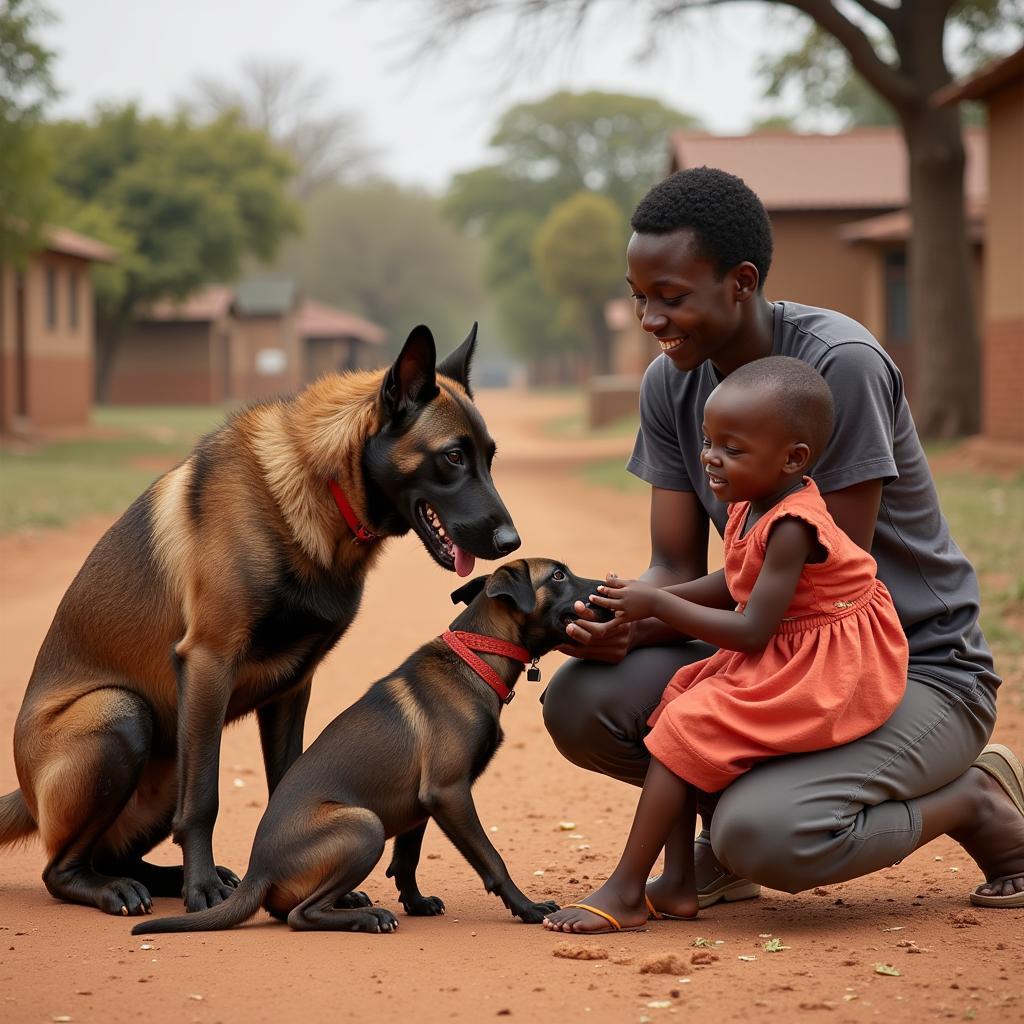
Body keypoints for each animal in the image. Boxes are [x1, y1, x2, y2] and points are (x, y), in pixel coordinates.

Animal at [0, 323, 520, 917]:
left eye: (490, 457)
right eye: (453, 457)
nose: (512, 542)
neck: (316, 484)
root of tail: (27, 792)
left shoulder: (293, 686)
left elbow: (287, 781)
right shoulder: (209, 661)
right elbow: (204, 800)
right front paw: (203, 888)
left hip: (166, 751)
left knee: (114, 854)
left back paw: (162, 878)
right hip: (124, 715)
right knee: (61, 869)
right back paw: (125, 888)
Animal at [136, 561, 610, 937]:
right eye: (559, 575)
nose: (607, 586)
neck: (476, 656)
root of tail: (259, 872)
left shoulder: (424, 802)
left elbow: (409, 856)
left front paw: (416, 902)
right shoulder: (449, 792)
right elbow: (492, 860)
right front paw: (527, 907)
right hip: (364, 825)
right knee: (301, 915)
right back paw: (367, 918)